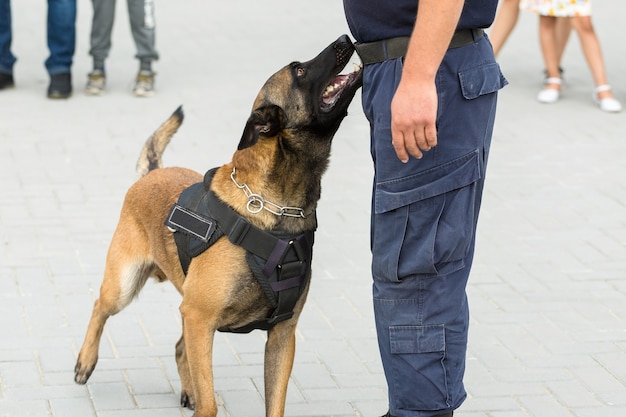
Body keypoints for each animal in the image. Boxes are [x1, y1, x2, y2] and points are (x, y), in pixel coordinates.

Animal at [74, 35, 360, 416]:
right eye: (299, 70)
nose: (346, 38)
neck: (279, 210)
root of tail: (152, 172)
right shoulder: (200, 318)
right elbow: (209, 404)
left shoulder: (281, 335)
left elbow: (274, 404)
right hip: (124, 284)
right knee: (99, 308)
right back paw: (85, 361)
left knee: (180, 348)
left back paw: (186, 389)